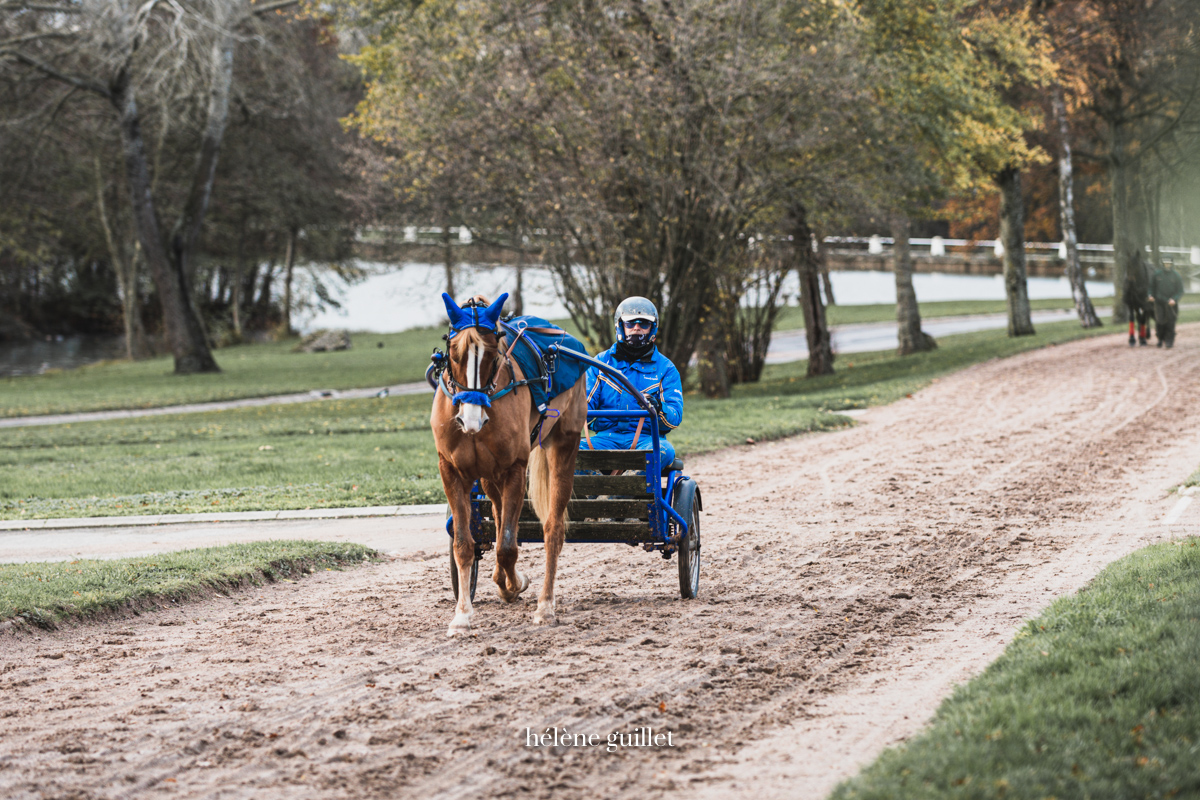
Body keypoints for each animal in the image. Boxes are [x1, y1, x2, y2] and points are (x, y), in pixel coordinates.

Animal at [432, 293, 585, 638]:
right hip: (489, 475)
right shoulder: (452, 470)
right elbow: (464, 543)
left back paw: (545, 605)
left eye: (492, 355)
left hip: (563, 445)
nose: (470, 419)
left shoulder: (515, 467)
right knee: (499, 513)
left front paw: (515, 583)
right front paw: (462, 615)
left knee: (552, 529)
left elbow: (507, 547)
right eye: (453, 353)